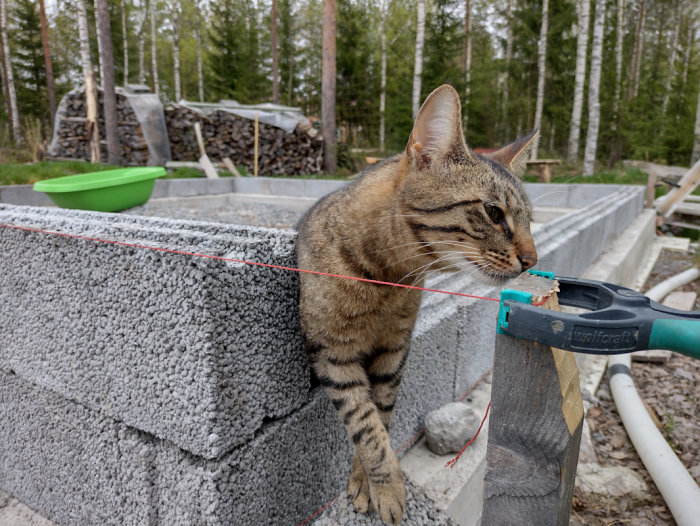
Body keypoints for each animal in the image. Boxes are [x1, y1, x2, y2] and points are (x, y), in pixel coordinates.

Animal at [296, 84, 536, 524]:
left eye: (530, 220)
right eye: (493, 212)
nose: (533, 259)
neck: (389, 276)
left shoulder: (394, 351)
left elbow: (382, 415)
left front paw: (365, 483)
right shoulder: (332, 354)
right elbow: (366, 425)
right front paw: (386, 487)